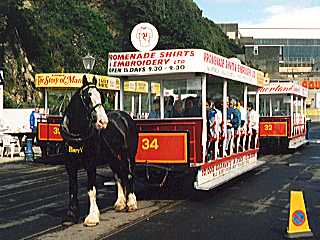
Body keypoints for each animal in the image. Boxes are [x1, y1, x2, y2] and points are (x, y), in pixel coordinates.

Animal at [60, 75, 138, 227]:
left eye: (101, 96)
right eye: (87, 97)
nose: (103, 121)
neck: (77, 136)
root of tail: (125, 116)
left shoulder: (90, 164)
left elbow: (91, 190)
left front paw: (92, 217)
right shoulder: (70, 165)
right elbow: (73, 189)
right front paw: (71, 215)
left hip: (128, 155)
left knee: (129, 174)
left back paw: (131, 203)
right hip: (112, 157)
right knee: (118, 175)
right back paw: (120, 202)